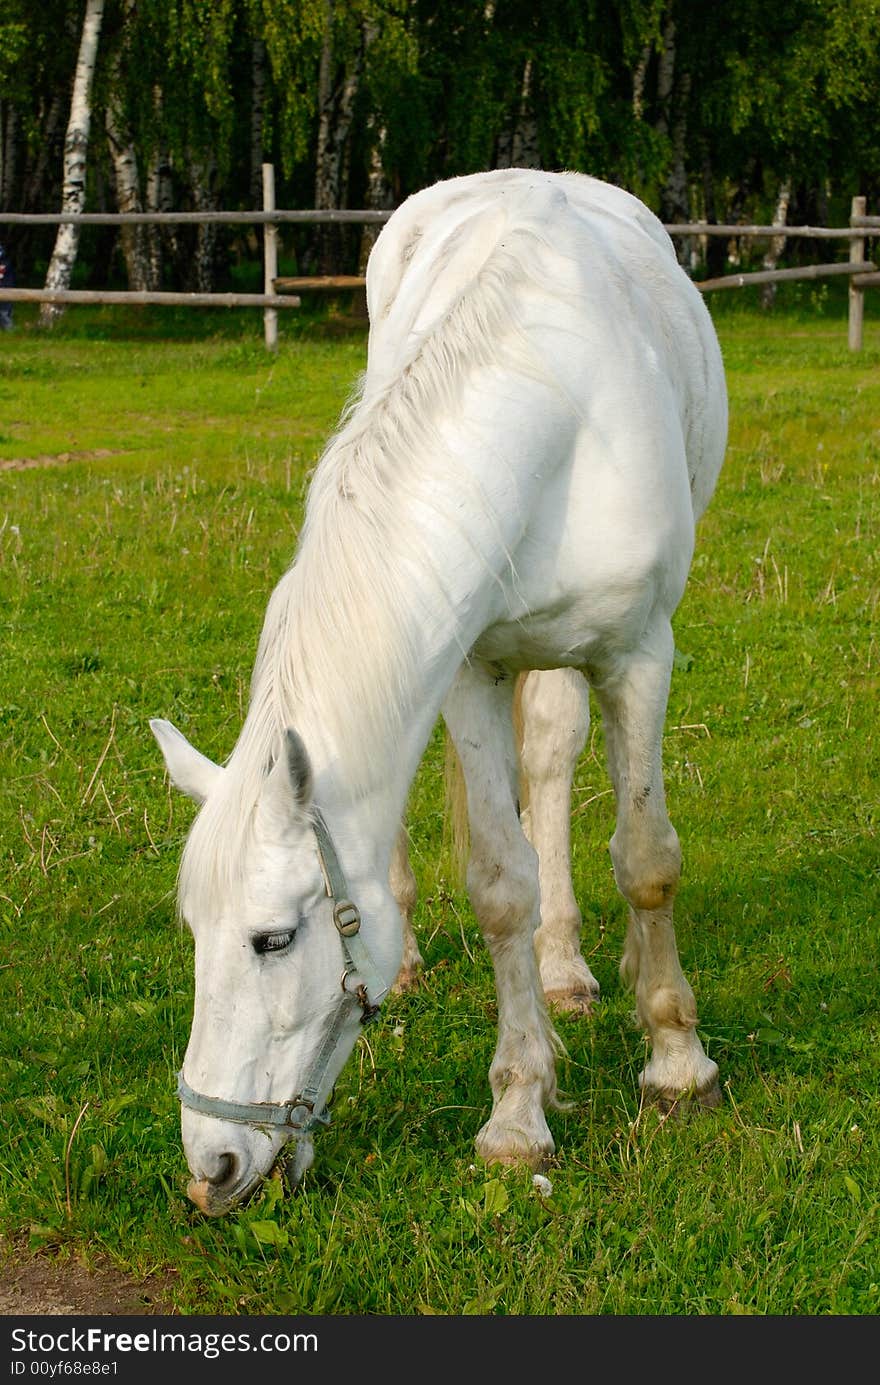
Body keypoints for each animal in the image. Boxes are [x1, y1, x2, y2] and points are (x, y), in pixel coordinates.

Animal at [151, 170, 731, 1213]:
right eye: (193, 931)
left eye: (270, 939)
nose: (212, 1167)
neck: (553, 411)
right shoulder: (470, 668)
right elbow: (502, 886)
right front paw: (518, 1112)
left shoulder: (638, 656)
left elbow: (646, 860)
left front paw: (677, 1061)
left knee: (557, 763)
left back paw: (579, 965)